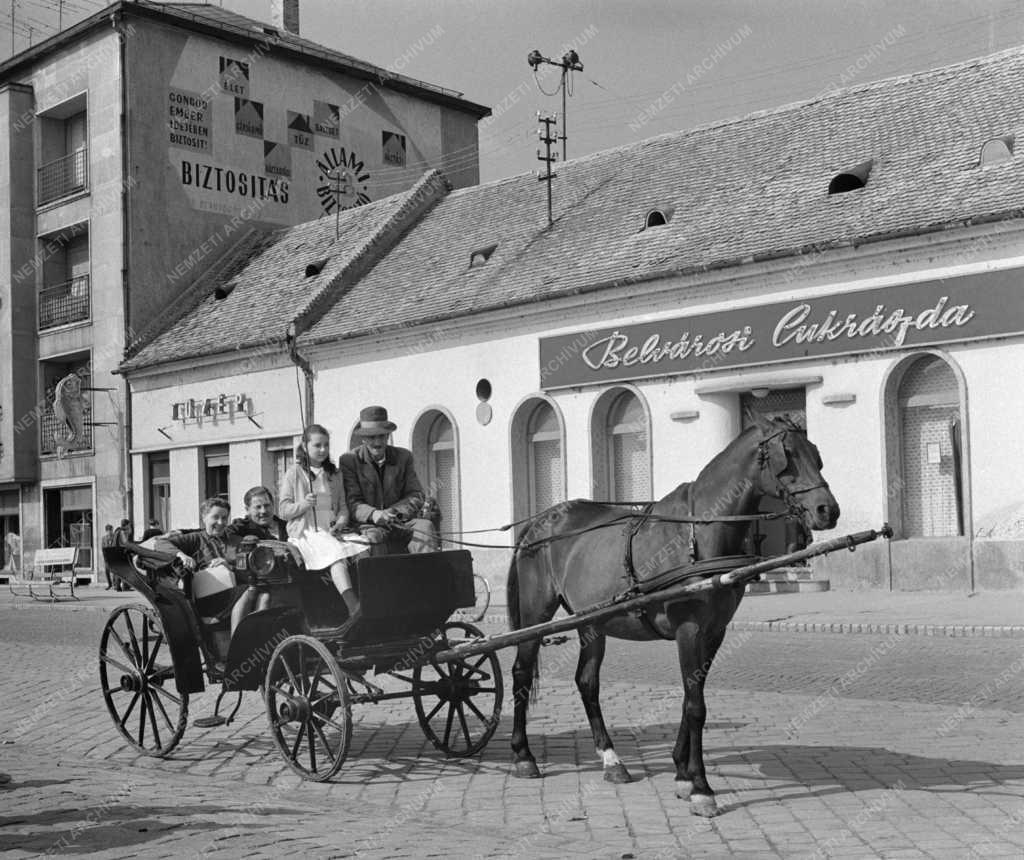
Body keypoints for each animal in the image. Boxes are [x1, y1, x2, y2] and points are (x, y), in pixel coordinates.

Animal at [505, 413, 839, 814]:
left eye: (817, 454)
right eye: (787, 454)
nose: (827, 510)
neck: (699, 535)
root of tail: (541, 520)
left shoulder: (714, 632)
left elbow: (691, 697)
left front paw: (682, 772)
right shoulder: (689, 630)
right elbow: (696, 706)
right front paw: (701, 787)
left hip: (592, 622)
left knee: (587, 682)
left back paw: (611, 761)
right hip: (535, 612)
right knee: (522, 673)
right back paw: (524, 755)